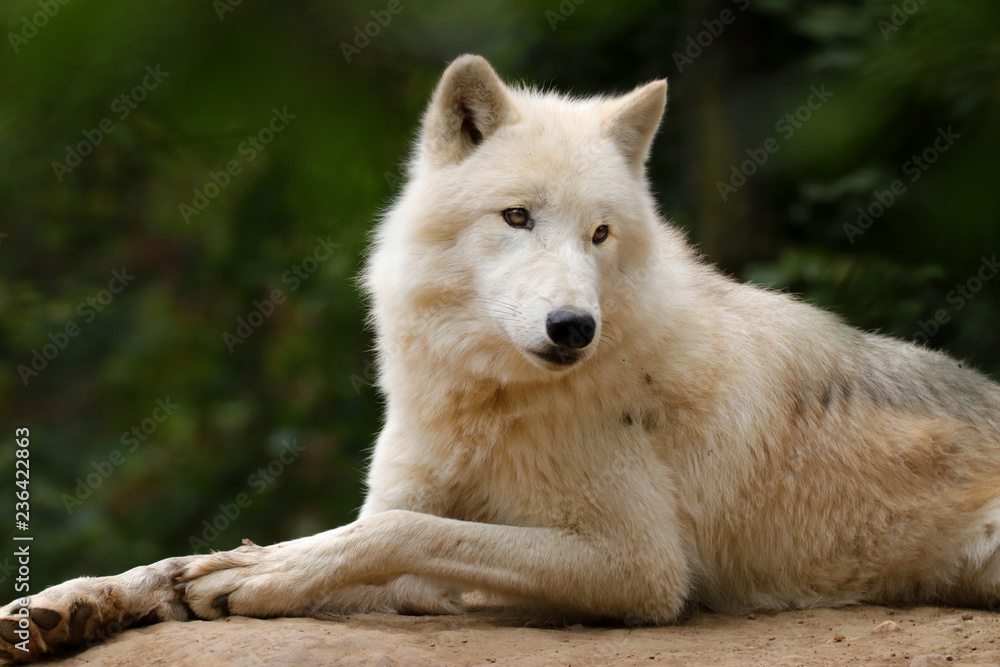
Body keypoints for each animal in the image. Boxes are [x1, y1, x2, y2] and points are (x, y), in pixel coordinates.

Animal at [1, 54, 1000, 664]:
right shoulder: (409, 505)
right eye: (517, 216)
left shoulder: (639, 569)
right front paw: (73, 602)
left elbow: (394, 535)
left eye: (600, 234)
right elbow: (226, 555)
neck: (488, 402)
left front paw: (252, 576)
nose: (573, 327)